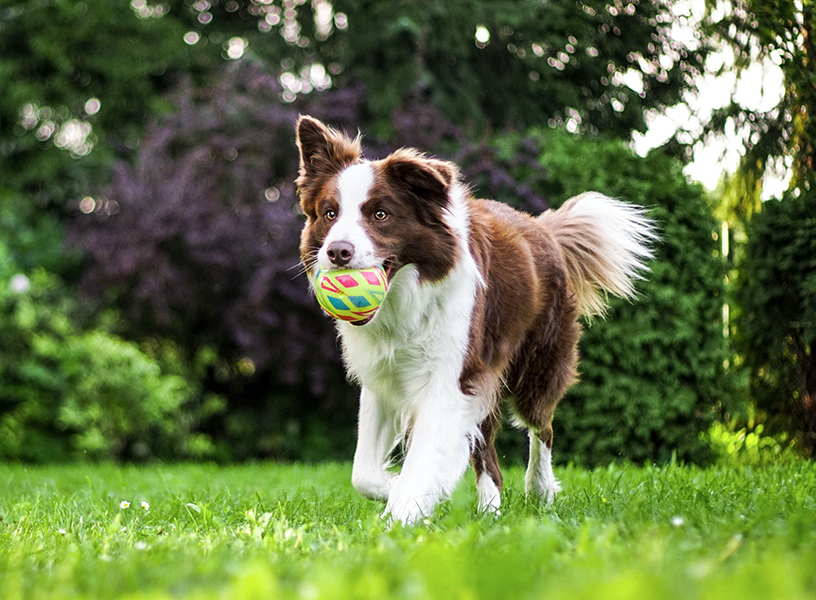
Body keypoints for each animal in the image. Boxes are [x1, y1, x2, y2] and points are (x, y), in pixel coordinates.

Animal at [294, 115, 656, 524]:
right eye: (330, 214)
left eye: (380, 215)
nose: (338, 252)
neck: (405, 299)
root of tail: (543, 228)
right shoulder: (383, 377)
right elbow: (363, 473)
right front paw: (399, 489)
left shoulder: (451, 378)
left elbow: (423, 457)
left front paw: (403, 512)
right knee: (488, 454)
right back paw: (490, 511)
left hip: (536, 366)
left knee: (541, 427)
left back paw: (539, 489)